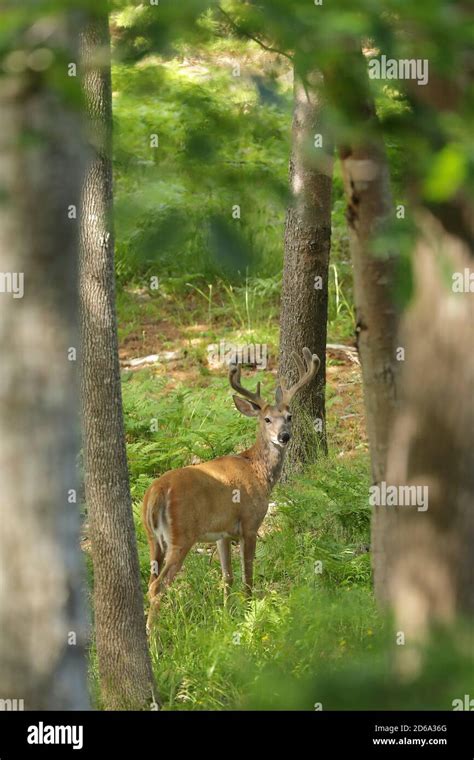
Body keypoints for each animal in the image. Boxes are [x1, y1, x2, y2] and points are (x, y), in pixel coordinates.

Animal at [143, 348, 320, 632]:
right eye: (266, 419)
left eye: (289, 417)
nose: (284, 436)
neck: (257, 470)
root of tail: (156, 493)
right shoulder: (250, 523)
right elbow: (248, 575)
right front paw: (250, 614)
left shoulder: (222, 533)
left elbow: (227, 577)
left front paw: (227, 617)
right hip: (181, 535)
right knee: (158, 586)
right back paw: (154, 639)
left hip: (152, 538)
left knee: (150, 581)